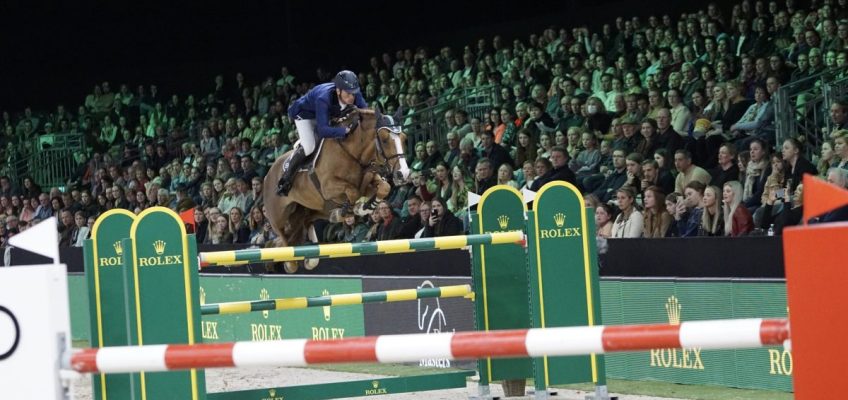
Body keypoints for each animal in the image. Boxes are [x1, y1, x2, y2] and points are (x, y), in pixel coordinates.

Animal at [264, 108, 410, 274]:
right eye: (384, 140)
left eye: (404, 139)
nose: (403, 174)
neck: (352, 153)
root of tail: (268, 174)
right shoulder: (329, 187)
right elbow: (352, 192)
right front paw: (354, 209)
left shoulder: (369, 181)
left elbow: (384, 187)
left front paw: (364, 208)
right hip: (278, 216)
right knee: (284, 236)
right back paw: (291, 263)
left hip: (313, 209)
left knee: (305, 223)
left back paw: (313, 255)